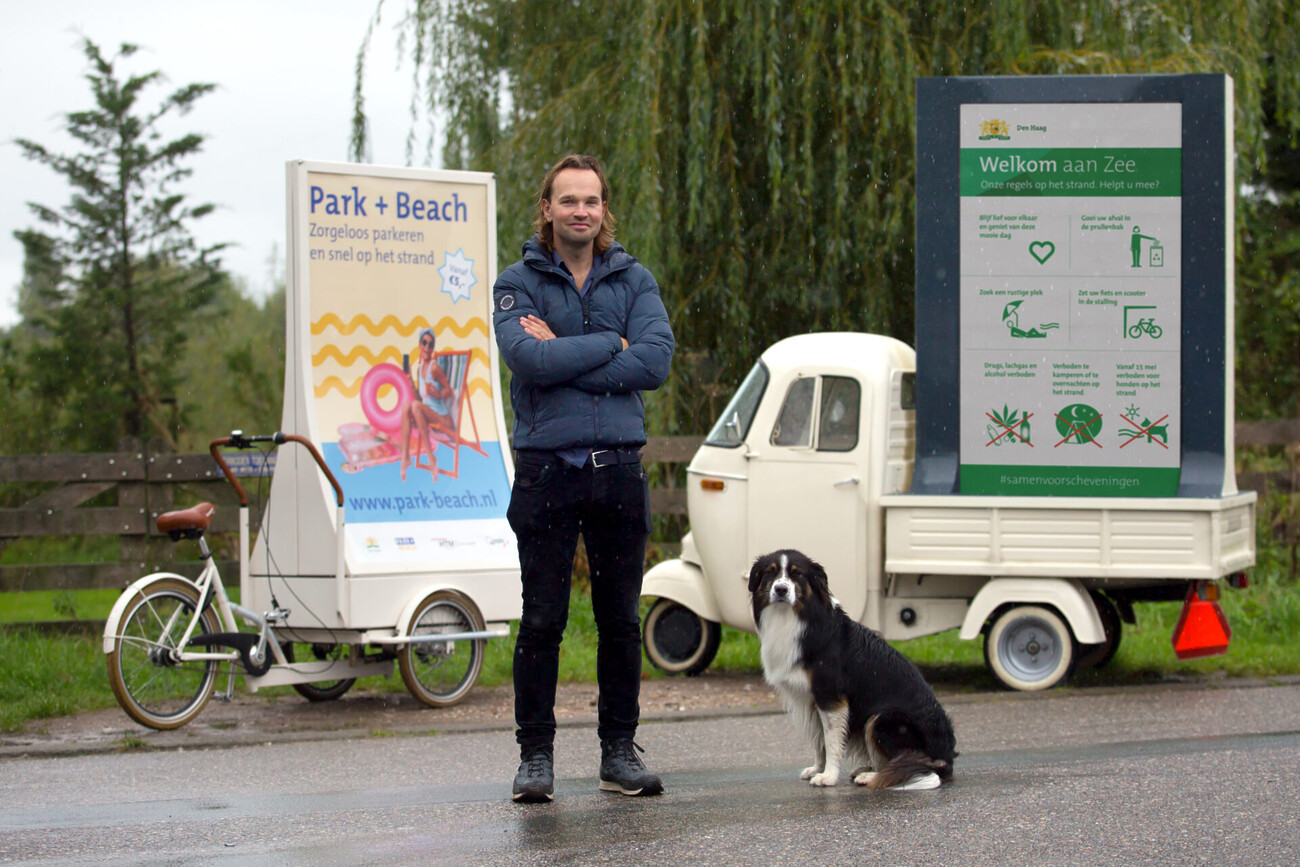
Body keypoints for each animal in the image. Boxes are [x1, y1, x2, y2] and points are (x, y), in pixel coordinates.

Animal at [754, 553, 956, 790]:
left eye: (797, 574)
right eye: (771, 572)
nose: (781, 590)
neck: (798, 617)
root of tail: (945, 761)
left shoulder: (830, 696)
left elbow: (831, 741)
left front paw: (828, 776)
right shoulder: (814, 700)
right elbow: (819, 740)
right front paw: (817, 769)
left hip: (882, 719)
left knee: (912, 761)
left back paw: (872, 776)